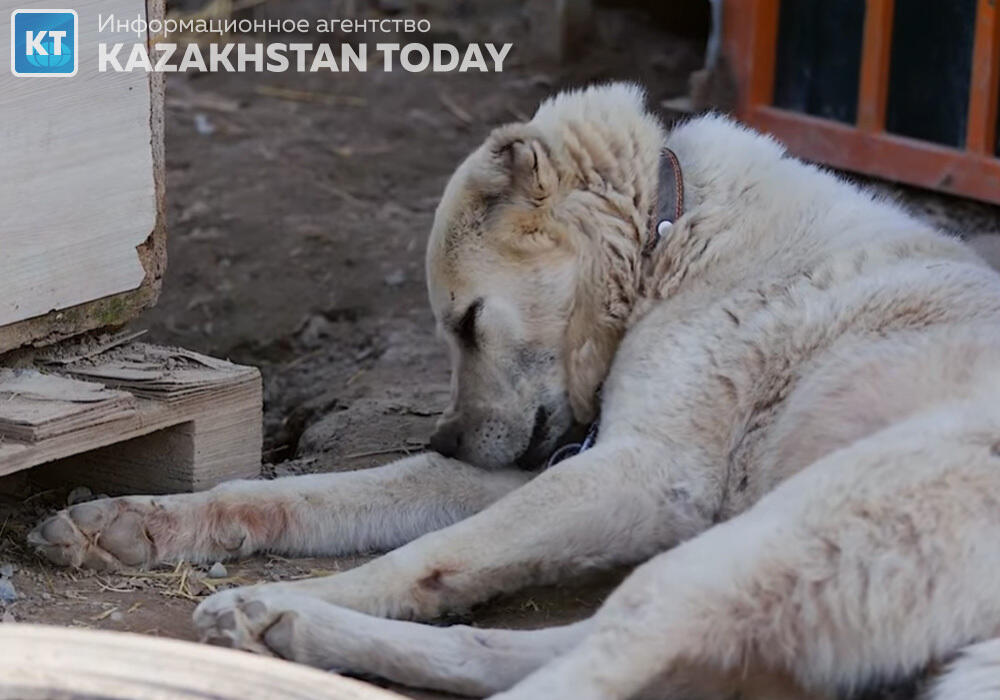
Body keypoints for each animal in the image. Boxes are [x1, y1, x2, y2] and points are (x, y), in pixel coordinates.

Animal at [27, 83, 1000, 700]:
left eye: (465, 321)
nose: (449, 440)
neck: (669, 233)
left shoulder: (647, 478)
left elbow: (417, 555)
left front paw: (313, 588)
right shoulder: (561, 460)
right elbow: (314, 495)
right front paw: (137, 524)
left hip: (797, 525)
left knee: (589, 665)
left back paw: (278, 613)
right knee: (539, 651)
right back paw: (283, 631)